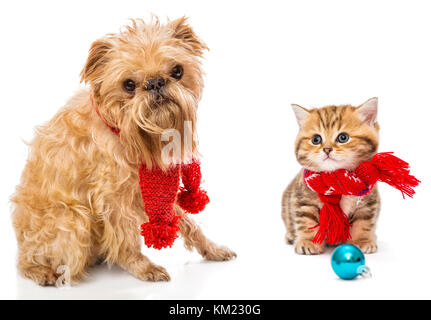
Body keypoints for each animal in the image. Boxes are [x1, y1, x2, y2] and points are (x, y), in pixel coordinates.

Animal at [11, 17, 236, 286]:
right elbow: (126, 237)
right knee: (25, 263)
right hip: (73, 221)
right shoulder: (113, 197)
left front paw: (212, 249)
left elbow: (188, 222)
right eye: (128, 85)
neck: (130, 135)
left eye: (177, 71)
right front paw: (143, 267)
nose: (155, 83)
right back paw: (42, 272)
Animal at [284, 98, 382, 255]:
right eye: (316, 139)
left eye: (343, 137)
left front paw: (361, 241)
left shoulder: (368, 202)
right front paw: (308, 241)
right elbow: (307, 220)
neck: (336, 180)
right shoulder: (303, 198)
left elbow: (363, 222)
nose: (327, 149)